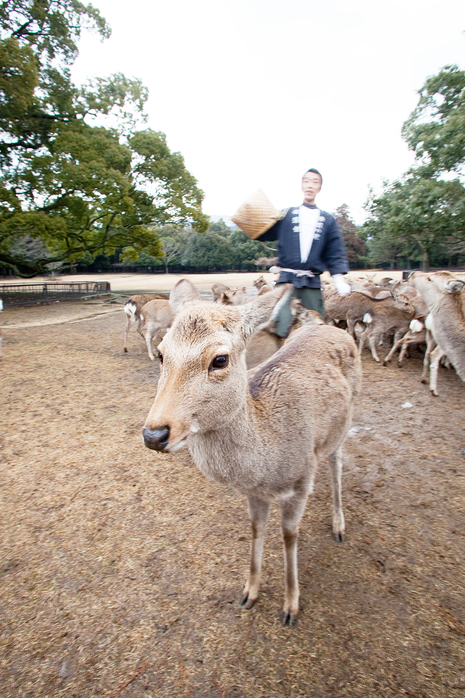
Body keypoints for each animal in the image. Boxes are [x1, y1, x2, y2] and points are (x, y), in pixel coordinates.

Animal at [143, 278, 360, 624]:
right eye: (162, 353)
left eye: (220, 359)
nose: (154, 434)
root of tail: (332, 328)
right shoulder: (253, 493)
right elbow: (257, 529)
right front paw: (249, 591)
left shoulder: (300, 482)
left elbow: (289, 536)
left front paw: (291, 606)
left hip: (346, 420)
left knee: (336, 462)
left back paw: (339, 525)